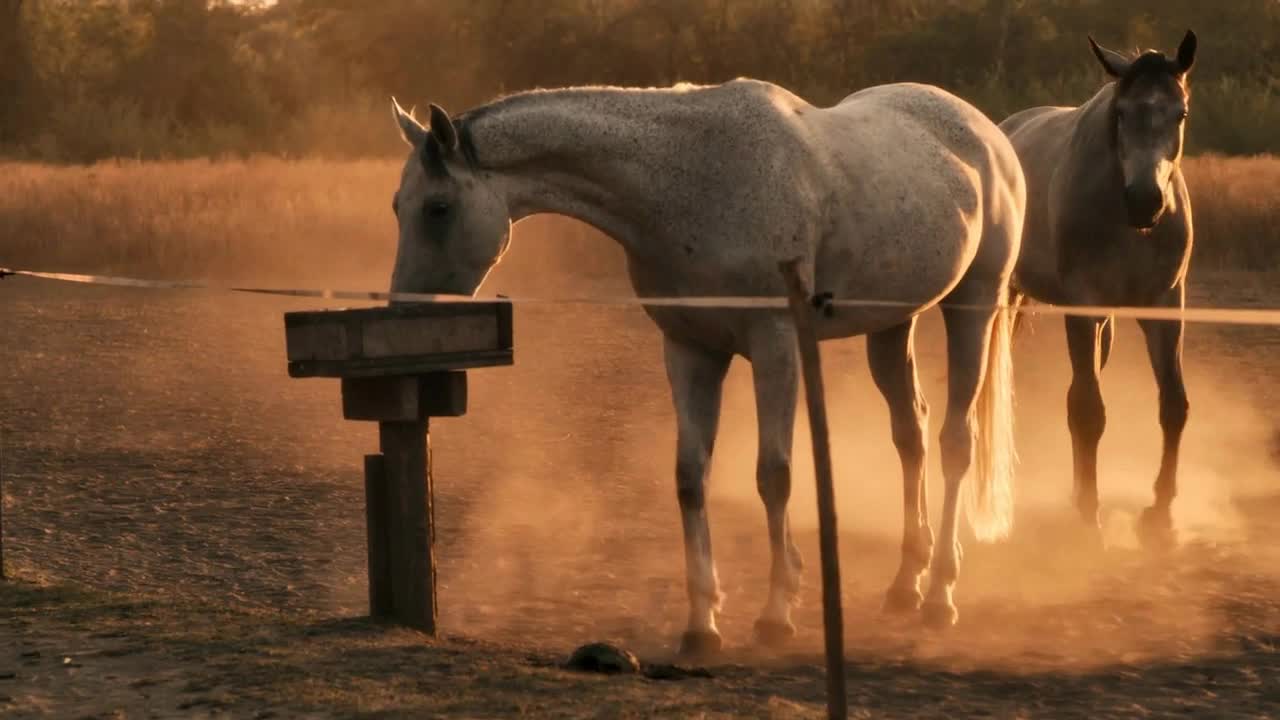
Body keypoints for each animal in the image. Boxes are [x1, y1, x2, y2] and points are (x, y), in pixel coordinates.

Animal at [384, 75, 1024, 653]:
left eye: (438, 208)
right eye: (398, 206)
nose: (402, 311)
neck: (690, 180)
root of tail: (985, 133)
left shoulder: (775, 345)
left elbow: (774, 475)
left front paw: (775, 614)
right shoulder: (690, 350)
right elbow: (690, 478)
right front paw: (702, 622)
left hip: (974, 305)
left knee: (954, 441)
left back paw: (939, 596)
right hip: (892, 326)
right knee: (910, 434)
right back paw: (905, 585)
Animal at [998, 28, 1198, 543]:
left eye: (1180, 113)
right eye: (1122, 113)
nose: (1145, 200)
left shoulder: (1164, 307)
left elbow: (1173, 404)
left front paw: (1160, 511)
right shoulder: (1082, 307)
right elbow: (1088, 410)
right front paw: (1090, 514)